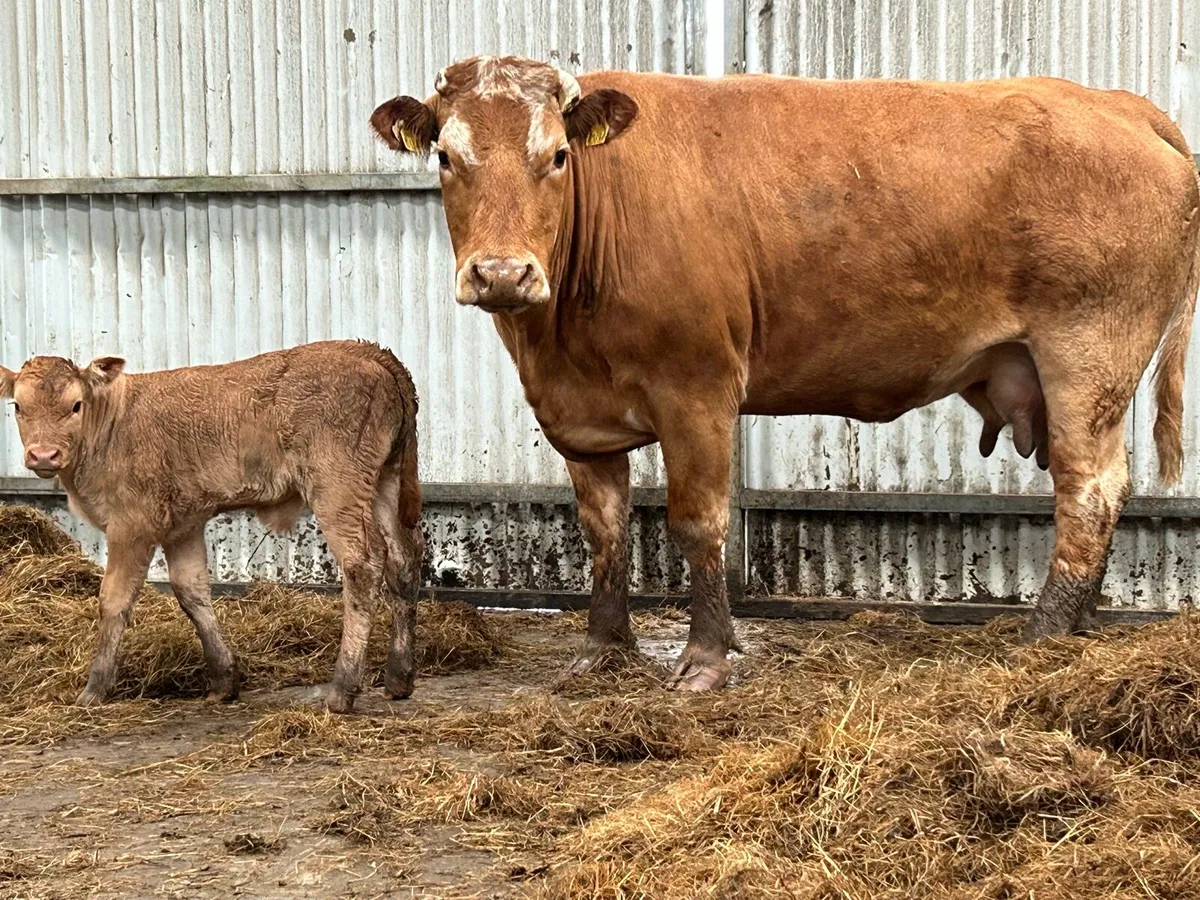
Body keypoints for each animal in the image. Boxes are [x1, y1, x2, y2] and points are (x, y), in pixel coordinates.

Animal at [0, 341, 423, 713]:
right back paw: (398, 678)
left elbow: (114, 600)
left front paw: (94, 689)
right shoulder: (182, 524)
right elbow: (192, 593)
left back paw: (342, 688)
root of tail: (369, 351)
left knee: (364, 563)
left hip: (337, 485)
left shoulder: (133, 523)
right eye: (18, 406)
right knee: (403, 559)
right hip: (385, 480)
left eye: (76, 405)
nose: (43, 455)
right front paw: (223, 681)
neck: (112, 424)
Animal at [371, 56, 1200, 691]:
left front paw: (705, 660)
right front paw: (603, 651)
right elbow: (603, 530)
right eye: (446, 157)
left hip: (1088, 353)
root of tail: (1117, 104)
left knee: (1091, 489)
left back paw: (1046, 632)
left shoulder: (697, 389)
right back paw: (1080, 624)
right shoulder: (581, 421)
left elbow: (697, 522)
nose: (502, 273)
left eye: (557, 157)